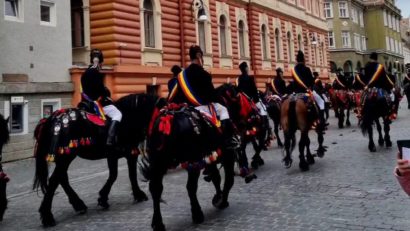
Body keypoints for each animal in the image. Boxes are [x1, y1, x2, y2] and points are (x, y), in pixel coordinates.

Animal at [33, 93, 162, 226]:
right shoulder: (130, 153)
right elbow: (130, 175)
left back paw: (78, 205)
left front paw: (103, 198)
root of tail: (51, 119)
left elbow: (113, 175)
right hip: (66, 157)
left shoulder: (112, 155)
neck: (129, 117)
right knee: (55, 180)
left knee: (62, 179)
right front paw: (138, 195)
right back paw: (47, 216)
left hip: (63, 158)